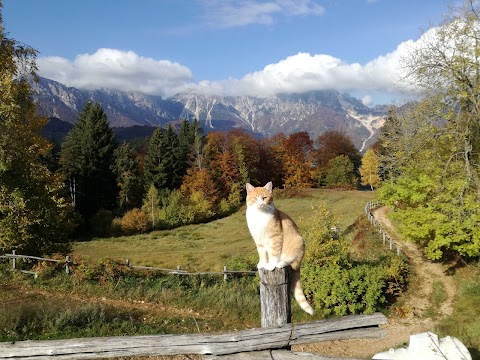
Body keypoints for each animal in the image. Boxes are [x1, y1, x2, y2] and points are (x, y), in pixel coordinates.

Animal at [246, 181, 314, 314]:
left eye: (264, 198)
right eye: (255, 198)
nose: (261, 204)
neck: (259, 216)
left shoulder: (275, 238)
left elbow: (273, 254)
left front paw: (270, 265)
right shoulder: (259, 241)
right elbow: (262, 254)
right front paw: (262, 264)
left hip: (297, 243)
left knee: (290, 261)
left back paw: (280, 263)